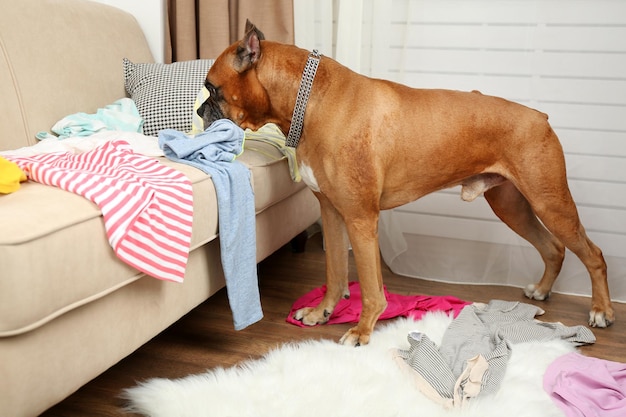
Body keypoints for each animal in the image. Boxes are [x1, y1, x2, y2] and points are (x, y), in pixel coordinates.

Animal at [197, 20, 612, 344]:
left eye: (212, 88)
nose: (200, 111)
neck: (309, 99)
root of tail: (539, 116)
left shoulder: (361, 219)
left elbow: (369, 286)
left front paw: (362, 330)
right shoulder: (332, 213)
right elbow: (334, 271)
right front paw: (322, 312)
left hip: (550, 201)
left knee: (593, 254)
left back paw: (601, 311)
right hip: (513, 206)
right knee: (553, 247)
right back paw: (542, 291)